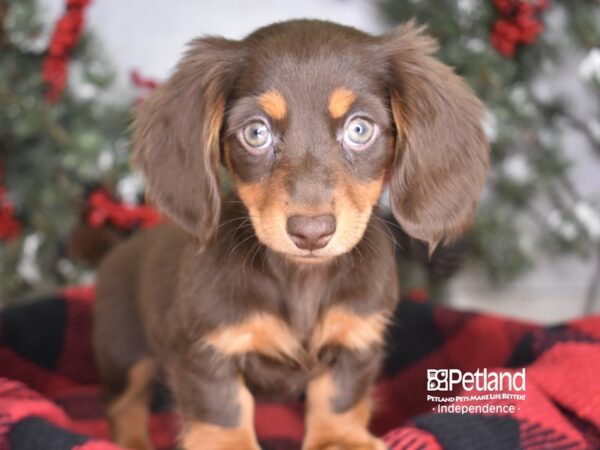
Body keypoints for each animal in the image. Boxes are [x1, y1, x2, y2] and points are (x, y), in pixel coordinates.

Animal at [92, 18, 488, 450]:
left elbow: (338, 395)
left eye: (360, 129)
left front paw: (338, 441)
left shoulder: (356, 336)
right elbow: (223, 409)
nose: (311, 233)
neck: (301, 279)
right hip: (125, 353)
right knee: (124, 405)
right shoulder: (206, 348)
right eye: (256, 133)